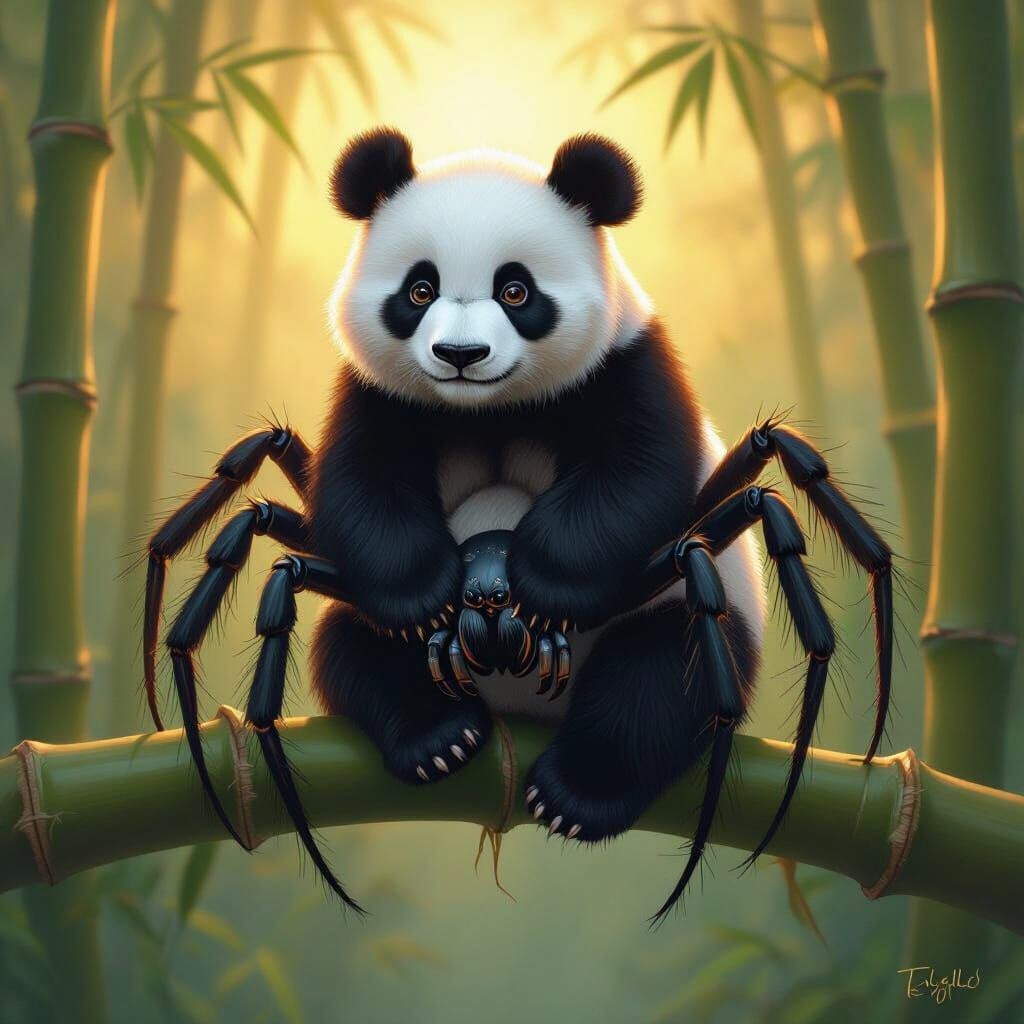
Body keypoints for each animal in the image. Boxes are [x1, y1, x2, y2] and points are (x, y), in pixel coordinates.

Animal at [307, 128, 767, 890]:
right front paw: (427, 595)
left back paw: (576, 793)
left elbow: (636, 474)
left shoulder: (627, 363)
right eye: (420, 289)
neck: (489, 407)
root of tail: (520, 712)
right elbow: (359, 488)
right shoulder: (376, 395)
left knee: (662, 674)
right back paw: (437, 737)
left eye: (515, 289)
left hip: (678, 618)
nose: (460, 354)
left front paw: (543, 588)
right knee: (354, 649)